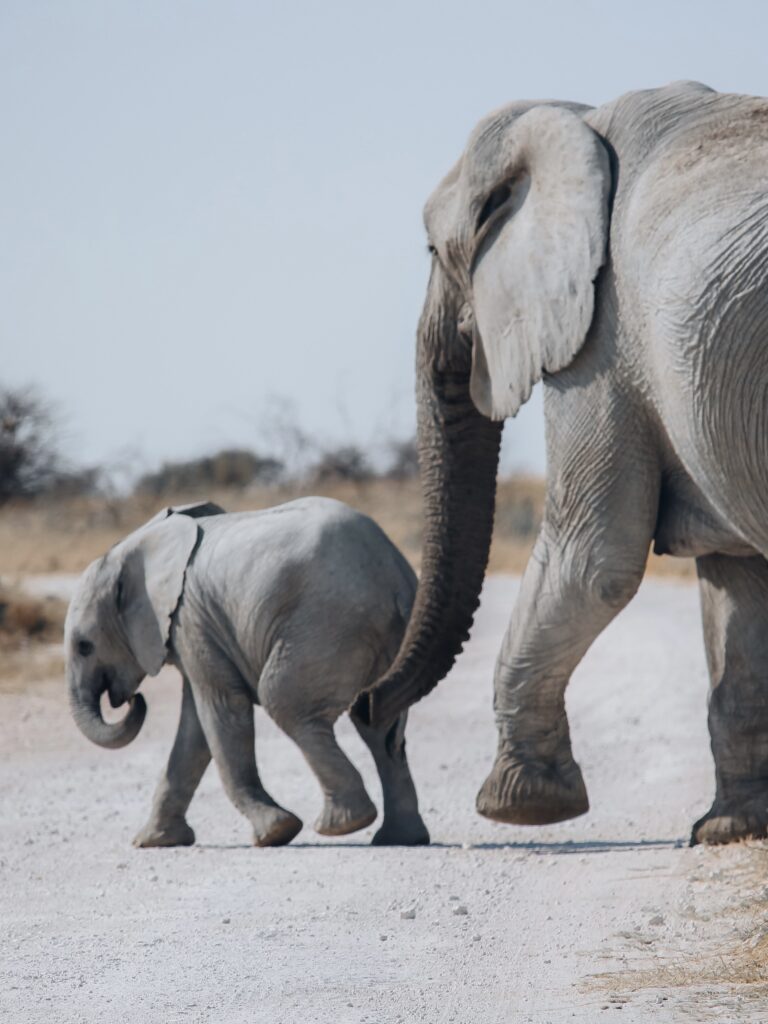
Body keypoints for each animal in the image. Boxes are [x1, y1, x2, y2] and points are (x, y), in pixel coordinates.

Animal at [65, 499, 429, 848]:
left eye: (84, 647)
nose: (133, 701)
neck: (135, 545)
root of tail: (396, 574)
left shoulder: (190, 618)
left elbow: (221, 711)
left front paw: (275, 832)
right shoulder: (195, 627)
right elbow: (194, 728)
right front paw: (153, 842)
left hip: (329, 624)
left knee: (285, 703)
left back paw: (342, 824)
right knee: (378, 723)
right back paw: (399, 838)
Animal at [355, 81, 768, 846]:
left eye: (432, 248)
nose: (368, 709)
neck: (576, 122)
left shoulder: (603, 336)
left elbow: (593, 557)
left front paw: (519, 805)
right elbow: (735, 587)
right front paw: (728, 830)